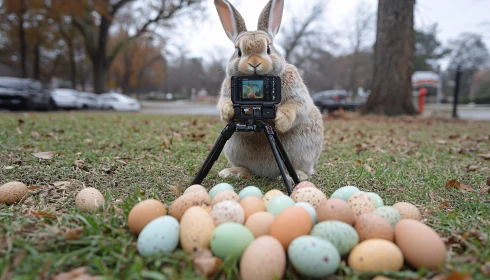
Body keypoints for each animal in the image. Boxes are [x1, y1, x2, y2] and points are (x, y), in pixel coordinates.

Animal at [213, 0, 322, 180]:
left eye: (268, 49)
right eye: (239, 51)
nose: (254, 63)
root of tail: (265, 172)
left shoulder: (297, 95)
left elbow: (296, 105)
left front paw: (280, 120)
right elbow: (224, 105)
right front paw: (229, 110)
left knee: (302, 169)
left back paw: (295, 175)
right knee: (246, 169)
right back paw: (232, 172)